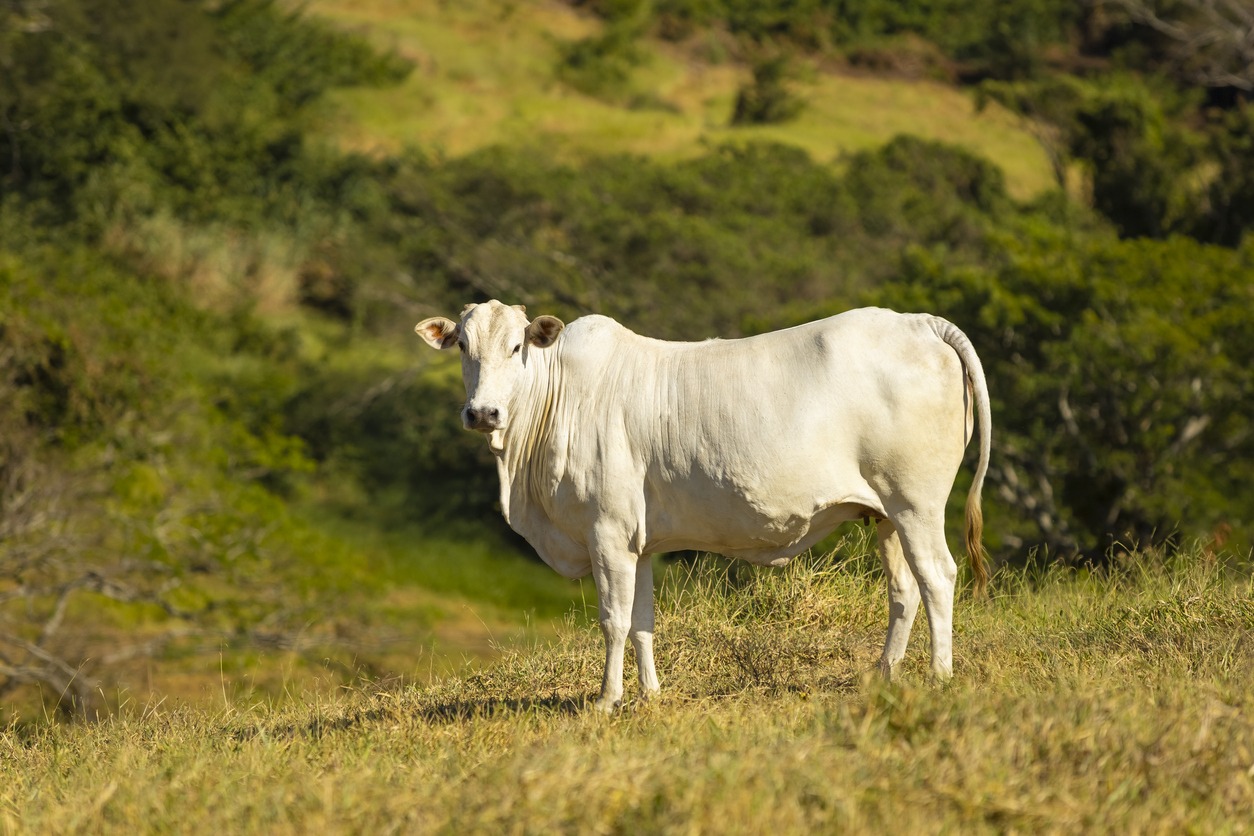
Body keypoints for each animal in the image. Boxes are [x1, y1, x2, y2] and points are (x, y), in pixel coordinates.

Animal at [416, 301, 991, 711]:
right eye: (462, 344)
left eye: (517, 346)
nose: (483, 412)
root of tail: (919, 322)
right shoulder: (638, 542)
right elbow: (643, 620)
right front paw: (649, 694)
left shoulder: (607, 533)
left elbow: (614, 620)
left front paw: (606, 700)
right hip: (886, 515)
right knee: (904, 591)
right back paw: (884, 674)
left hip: (916, 503)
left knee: (937, 578)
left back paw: (939, 676)